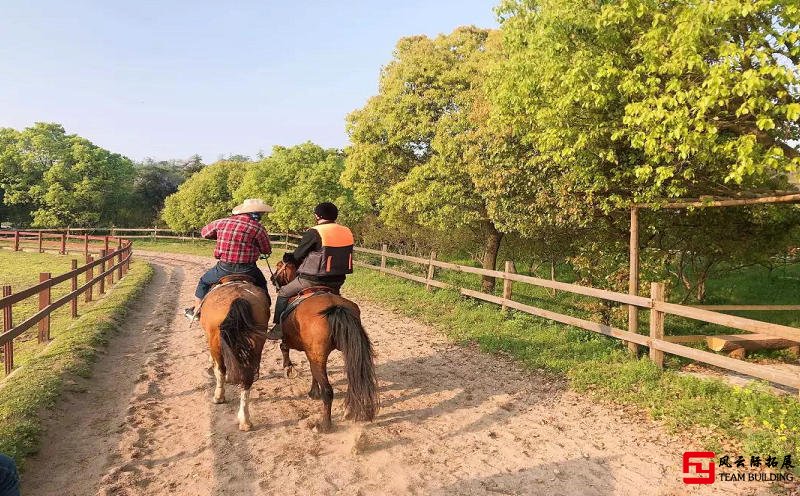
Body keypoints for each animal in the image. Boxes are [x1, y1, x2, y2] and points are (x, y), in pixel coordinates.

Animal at [199, 280, 268, 430]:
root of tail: (238, 299)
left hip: (215, 343)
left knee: (220, 370)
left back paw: (218, 397)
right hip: (256, 345)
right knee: (247, 379)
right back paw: (245, 420)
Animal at [272, 262, 378, 432]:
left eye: (279, 266)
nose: (272, 278)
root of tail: (335, 308)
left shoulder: (295, 344)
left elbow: (284, 347)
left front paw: (288, 368)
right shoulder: (311, 353)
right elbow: (313, 373)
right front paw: (313, 392)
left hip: (319, 356)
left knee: (328, 391)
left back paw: (324, 425)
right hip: (346, 352)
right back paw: (348, 410)